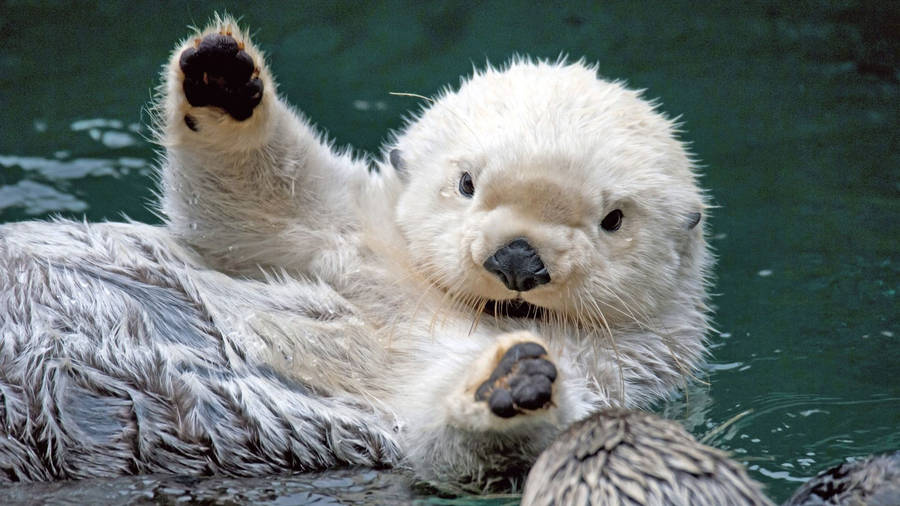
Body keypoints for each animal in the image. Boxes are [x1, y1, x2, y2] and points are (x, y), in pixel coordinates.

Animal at [0, 16, 710, 491]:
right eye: (466, 184)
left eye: (613, 220)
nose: (517, 261)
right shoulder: (347, 239)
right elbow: (255, 203)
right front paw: (223, 78)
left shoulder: (612, 375)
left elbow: (454, 440)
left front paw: (510, 383)